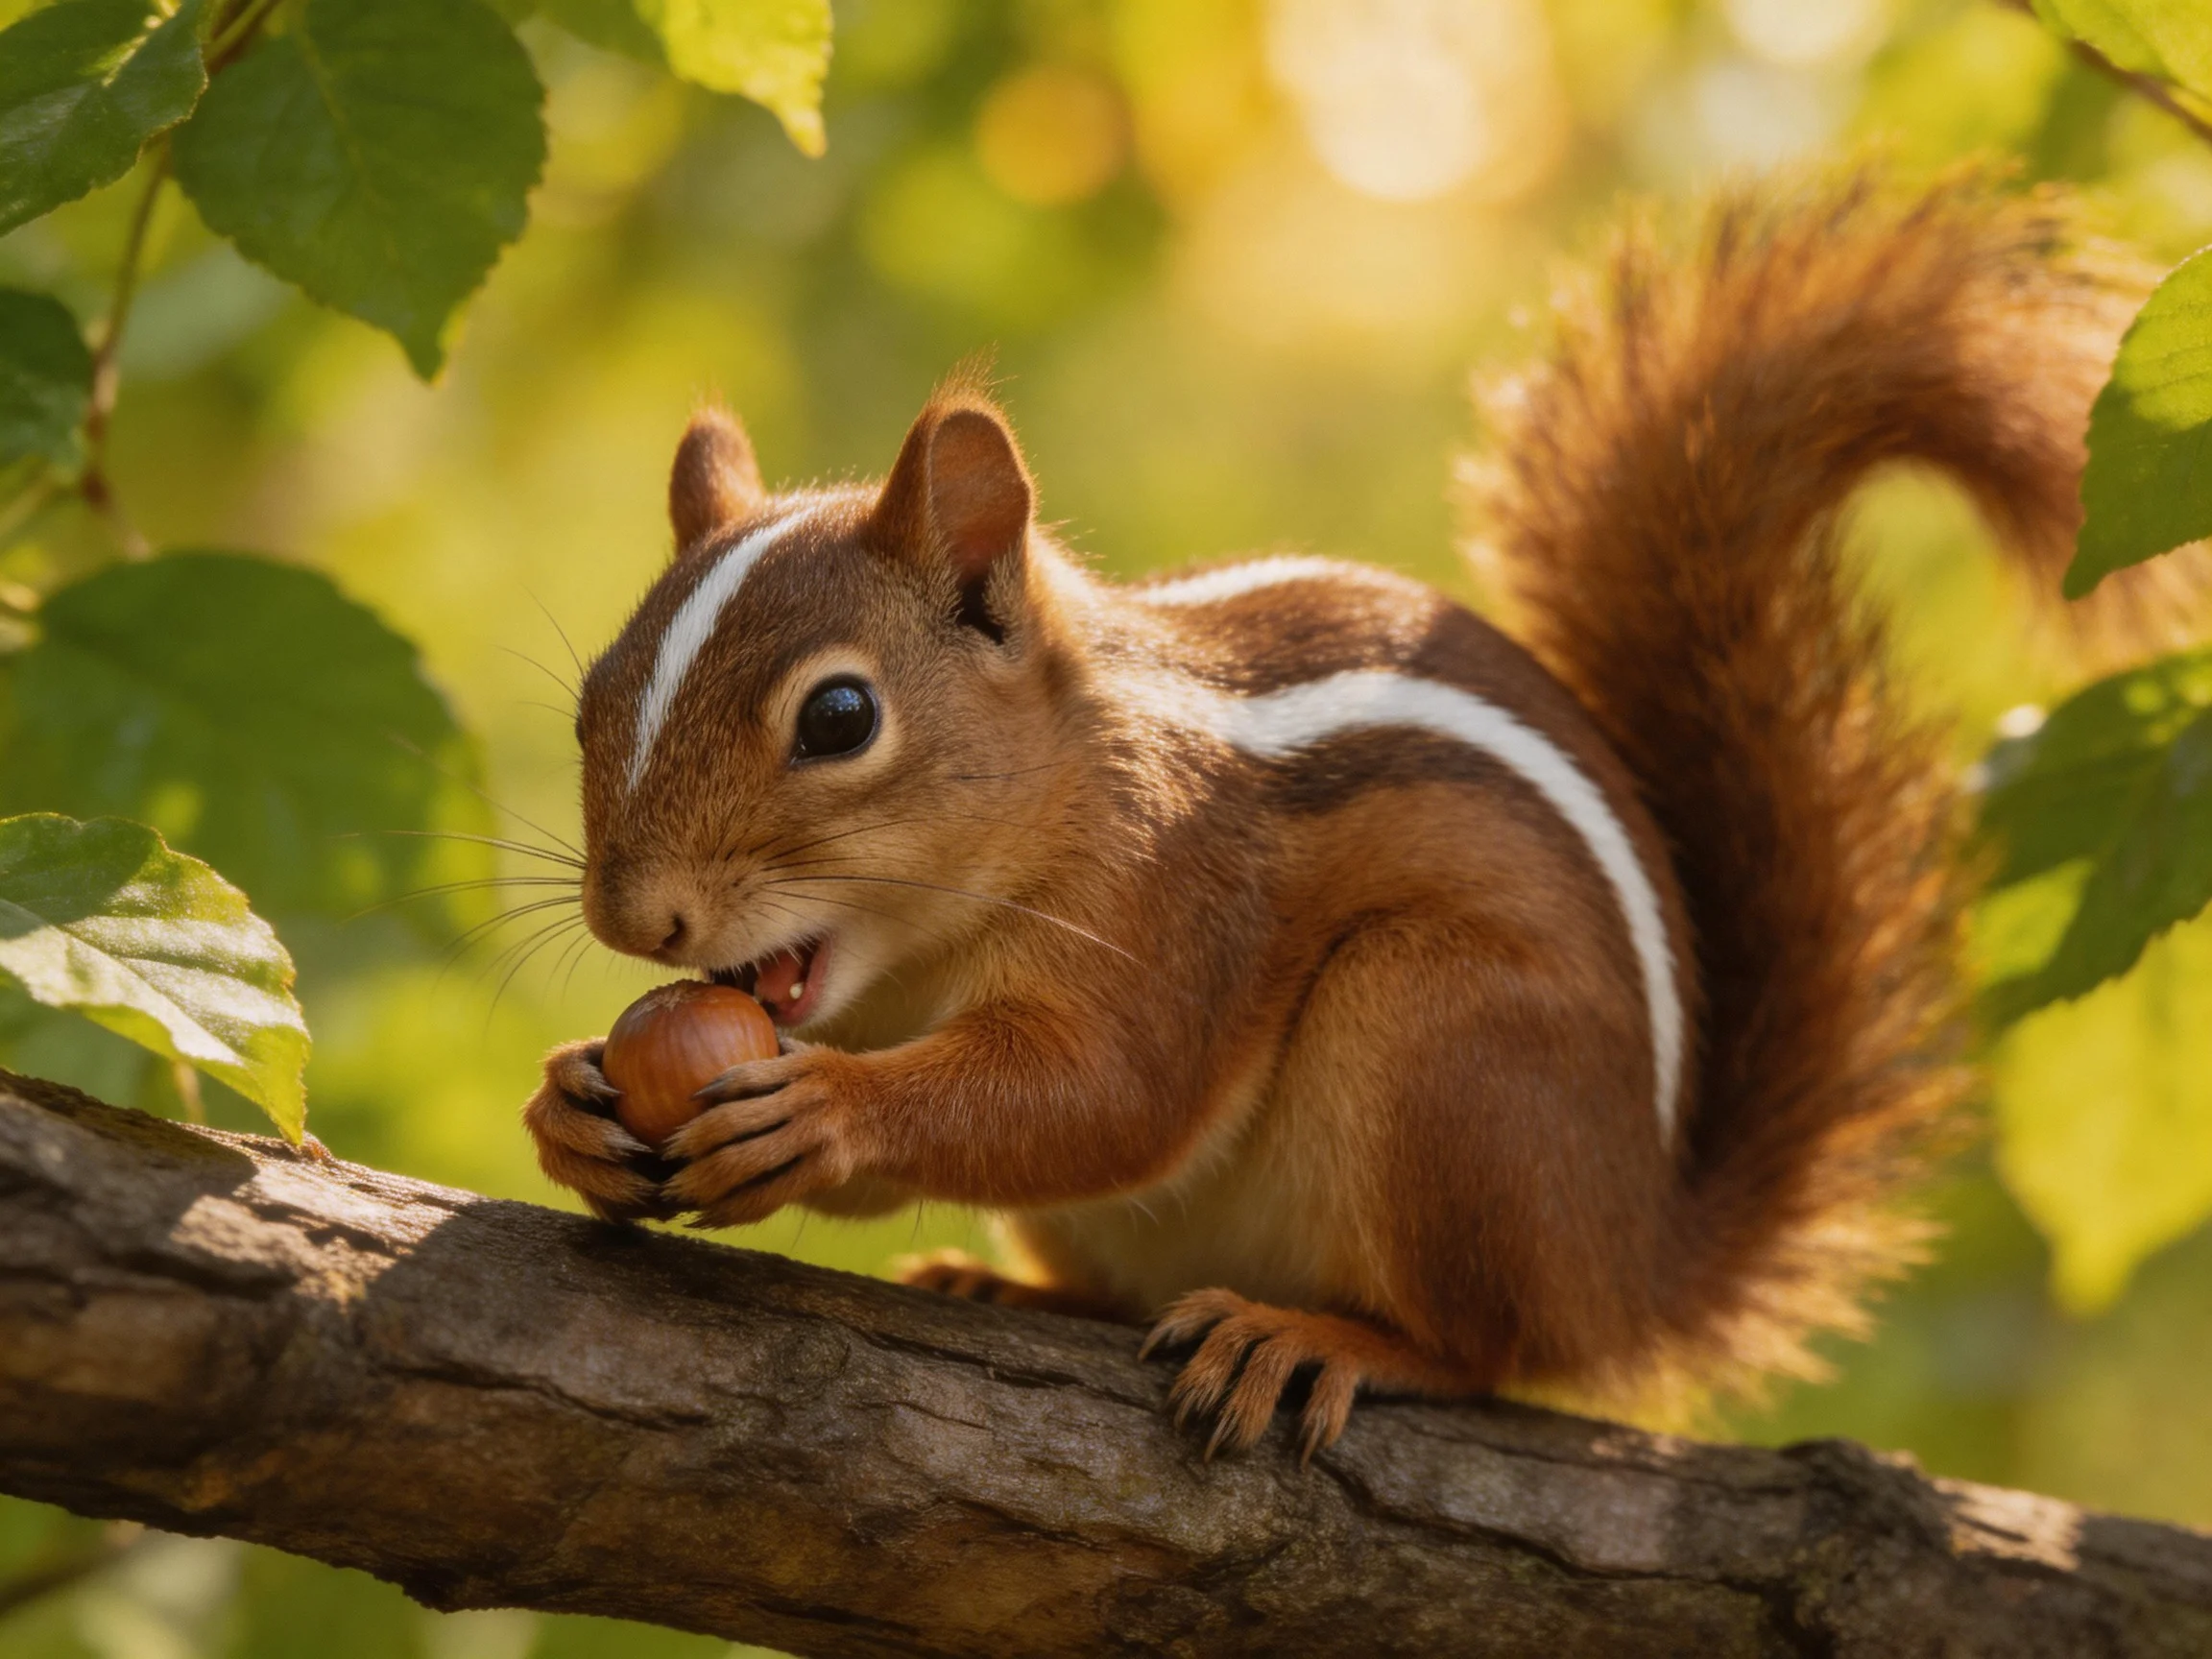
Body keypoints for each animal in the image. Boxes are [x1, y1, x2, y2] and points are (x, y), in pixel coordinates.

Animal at [524, 175, 2135, 1458]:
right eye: (592, 692)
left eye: (840, 718)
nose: (635, 915)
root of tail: (1636, 1262)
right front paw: (571, 1105)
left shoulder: (1180, 902)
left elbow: (1100, 1095)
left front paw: (827, 1111)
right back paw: (1003, 1282)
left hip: (1446, 1047)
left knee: (1486, 1353)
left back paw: (1323, 1340)